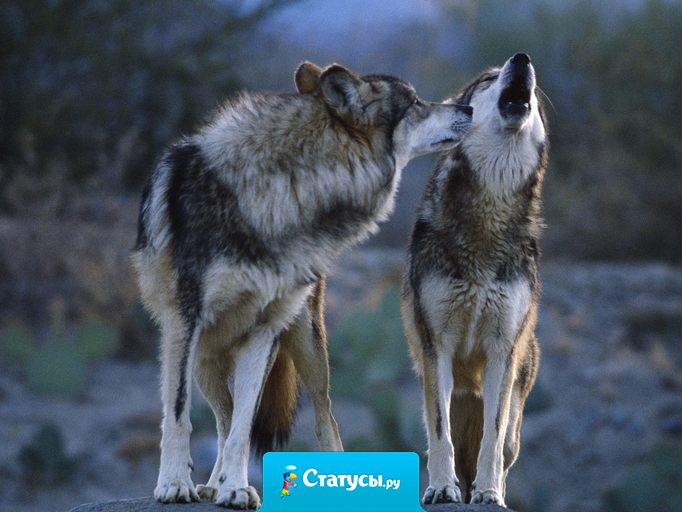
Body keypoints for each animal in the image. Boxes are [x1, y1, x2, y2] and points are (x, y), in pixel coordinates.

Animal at [133, 61, 472, 508]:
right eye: (415, 103)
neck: (288, 189)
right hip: (205, 357)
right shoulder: (183, 323)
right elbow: (179, 415)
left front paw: (236, 488)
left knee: (322, 418)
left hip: (307, 346)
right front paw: (175, 483)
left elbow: (244, 428)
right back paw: (210, 483)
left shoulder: (262, 331)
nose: (468, 107)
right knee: (221, 417)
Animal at [398, 52, 548, 504]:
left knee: (504, 446)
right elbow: (440, 434)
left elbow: (492, 438)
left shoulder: (503, 350)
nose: (522, 59)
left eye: (536, 91)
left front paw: (489, 494)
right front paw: (441, 489)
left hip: (518, 403)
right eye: (488, 79)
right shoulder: (437, 347)